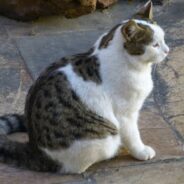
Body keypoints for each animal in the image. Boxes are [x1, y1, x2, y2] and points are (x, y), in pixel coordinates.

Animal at [0, 0, 170, 173]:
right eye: (155, 45)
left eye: (164, 39)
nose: (167, 51)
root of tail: (35, 151)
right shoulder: (125, 114)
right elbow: (132, 135)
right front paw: (141, 151)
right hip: (104, 140)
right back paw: (117, 150)